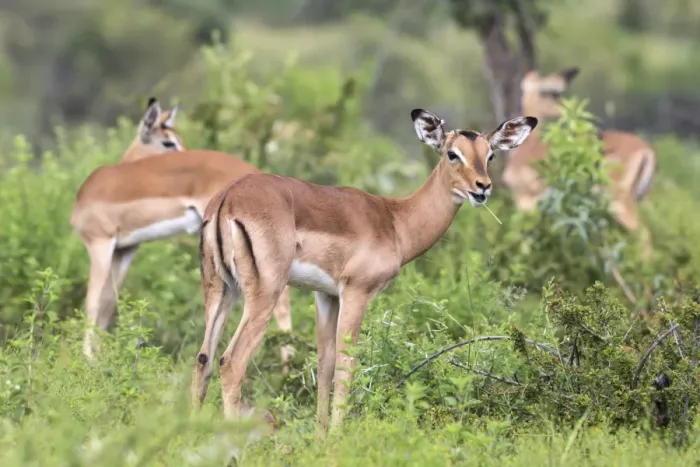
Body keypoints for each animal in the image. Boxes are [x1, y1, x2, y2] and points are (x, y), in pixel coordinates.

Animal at [71, 97, 293, 367]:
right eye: (168, 141)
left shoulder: (99, 243)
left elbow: (92, 303)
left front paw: (87, 359)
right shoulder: (124, 250)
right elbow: (107, 303)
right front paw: (101, 357)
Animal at [191, 108, 537, 438]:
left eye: (489, 155)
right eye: (452, 153)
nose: (483, 188)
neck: (395, 221)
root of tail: (228, 199)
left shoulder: (326, 295)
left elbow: (325, 363)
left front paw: (320, 438)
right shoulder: (357, 291)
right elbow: (347, 364)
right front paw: (336, 439)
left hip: (220, 288)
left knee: (203, 358)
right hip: (264, 293)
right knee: (231, 362)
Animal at [502, 67, 656, 260]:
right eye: (552, 93)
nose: (565, 108)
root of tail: (647, 149)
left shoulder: (526, 200)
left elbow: (525, 238)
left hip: (618, 200)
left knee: (643, 233)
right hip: (642, 198)